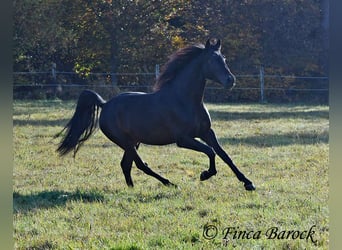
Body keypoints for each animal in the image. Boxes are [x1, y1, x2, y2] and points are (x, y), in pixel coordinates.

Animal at [56, 39, 254, 190]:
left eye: (224, 58)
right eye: (212, 60)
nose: (231, 80)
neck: (185, 100)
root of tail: (104, 105)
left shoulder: (206, 132)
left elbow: (224, 155)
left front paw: (248, 183)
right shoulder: (183, 139)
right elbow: (211, 152)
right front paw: (205, 174)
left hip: (133, 142)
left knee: (126, 165)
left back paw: (132, 188)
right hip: (126, 142)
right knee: (139, 164)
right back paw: (169, 183)